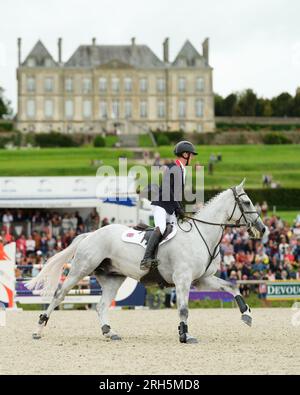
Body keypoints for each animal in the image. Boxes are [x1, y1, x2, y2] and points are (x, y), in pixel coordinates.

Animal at [26, 181, 264, 344]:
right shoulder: (183, 280)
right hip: (80, 269)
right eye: (246, 202)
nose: (262, 229)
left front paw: (247, 315)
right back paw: (38, 329)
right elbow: (184, 309)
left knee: (101, 305)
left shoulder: (202, 279)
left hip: (113, 278)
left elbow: (231, 286)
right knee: (59, 295)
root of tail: (91, 234)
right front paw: (185, 336)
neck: (202, 235)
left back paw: (109, 332)